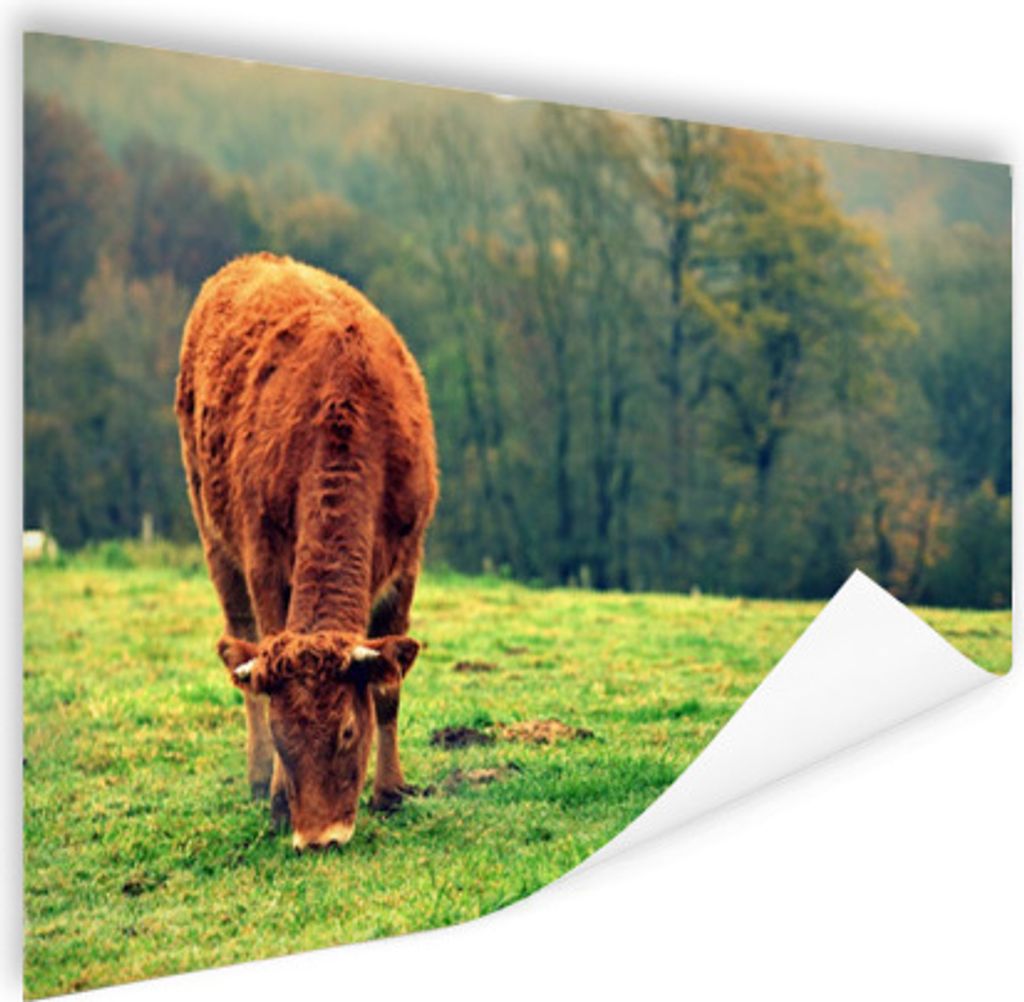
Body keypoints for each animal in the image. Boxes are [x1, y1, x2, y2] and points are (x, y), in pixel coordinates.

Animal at [175, 253, 438, 851]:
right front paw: (276, 799)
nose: (319, 838)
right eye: (283, 734)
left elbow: (389, 686)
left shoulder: (407, 563)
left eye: (347, 730)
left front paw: (391, 791)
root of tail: (252, 260)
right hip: (212, 532)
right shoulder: (263, 560)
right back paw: (255, 780)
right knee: (238, 641)